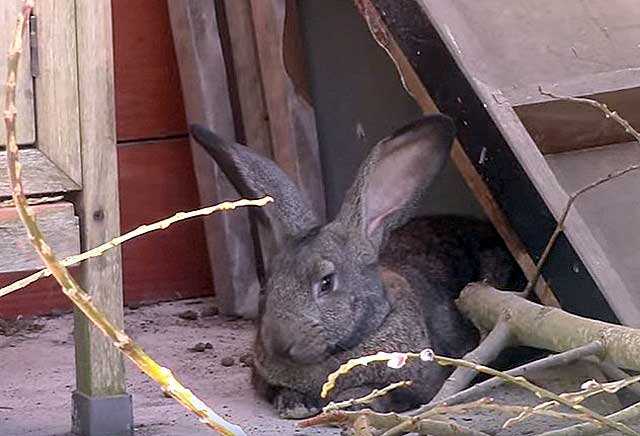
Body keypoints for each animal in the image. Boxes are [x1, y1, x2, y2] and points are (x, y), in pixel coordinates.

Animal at [190, 114, 520, 418]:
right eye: (265, 289)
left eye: (326, 282)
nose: (280, 343)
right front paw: (294, 405)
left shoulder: (420, 383)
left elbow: (381, 393)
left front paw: (347, 401)